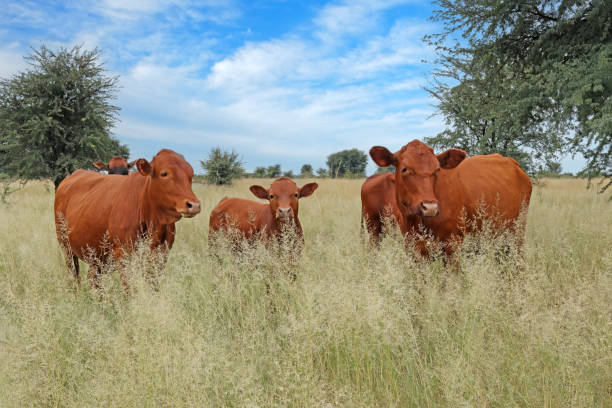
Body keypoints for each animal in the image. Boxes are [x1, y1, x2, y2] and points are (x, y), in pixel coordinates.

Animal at [53, 148, 200, 288]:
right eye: (164, 173)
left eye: (191, 174)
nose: (194, 205)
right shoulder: (123, 255)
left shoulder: (161, 256)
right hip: (66, 246)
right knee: (75, 276)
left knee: (94, 280)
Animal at [364, 140, 532, 255]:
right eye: (404, 169)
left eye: (437, 169)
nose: (430, 207)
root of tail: (512, 162)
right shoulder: (412, 248)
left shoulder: (453, 246)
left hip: (516, 234)